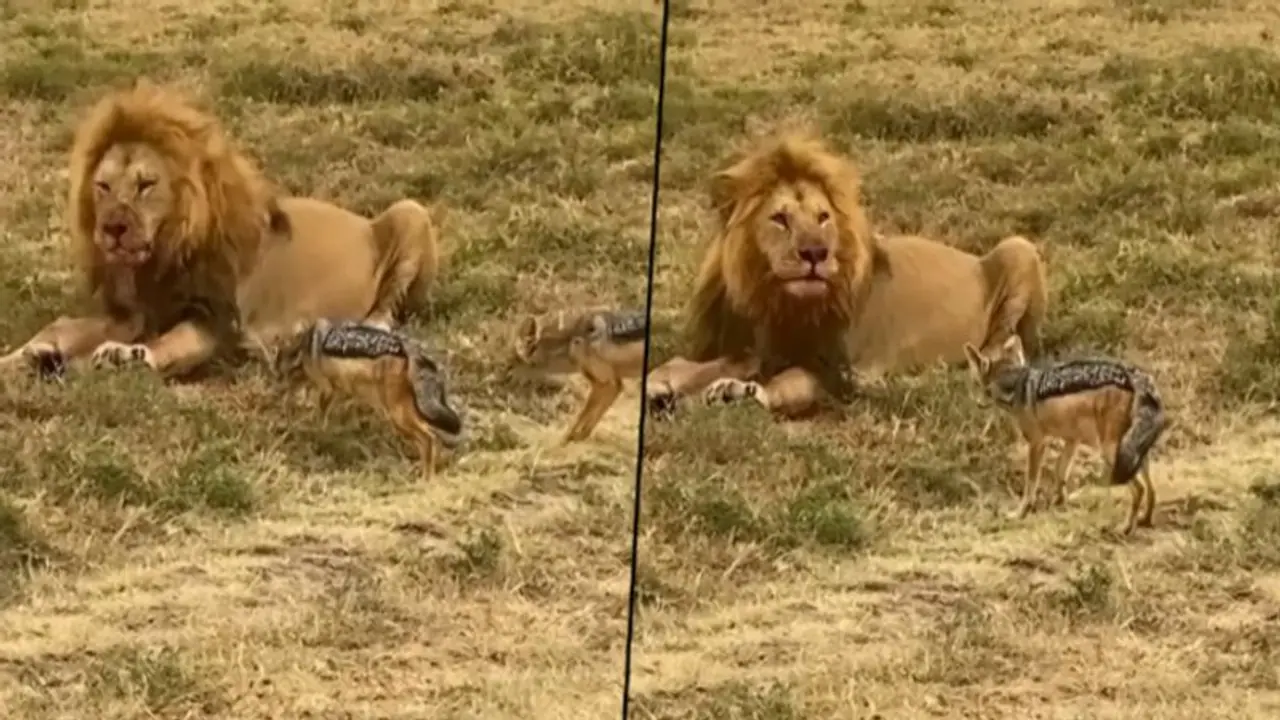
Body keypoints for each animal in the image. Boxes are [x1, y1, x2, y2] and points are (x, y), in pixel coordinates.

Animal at [0, 79, 441, 380]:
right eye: (103, 186)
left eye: (146, 185)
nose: (113, 229)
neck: (162, 258)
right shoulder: (136, 312)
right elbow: (62, 326)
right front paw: (27, 356)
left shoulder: (216, 320)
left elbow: (171, 342)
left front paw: (123, 356)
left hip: (412, 211)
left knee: (385, 315)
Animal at [644, 130, 1049, 419]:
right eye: (780, 218)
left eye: (823, 216)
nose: (815, 253)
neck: (773, 299)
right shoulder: (754, 347)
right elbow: (695, 364)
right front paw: (662, 383)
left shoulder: (835, 371)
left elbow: (793, 384)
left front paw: (736, 393)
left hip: (1018, 248)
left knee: (1007, 346)